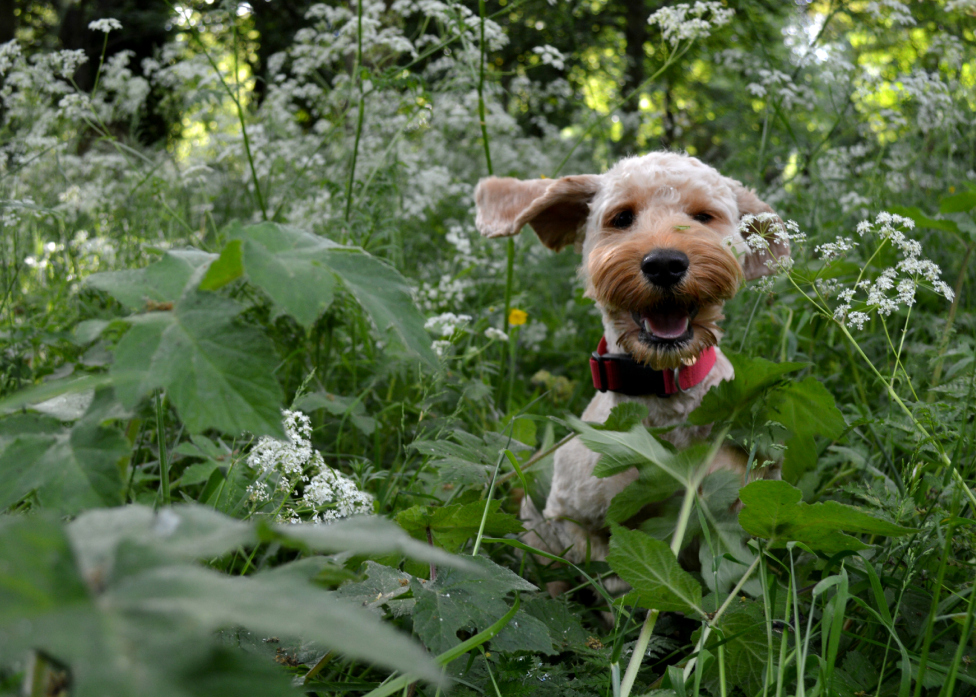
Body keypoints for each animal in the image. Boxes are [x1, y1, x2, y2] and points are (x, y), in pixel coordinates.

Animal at [476, 152, 788, 588]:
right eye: (621, 218)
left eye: (703, 216)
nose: (665, 264)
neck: (664, 391)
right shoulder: (574, 519)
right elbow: (616, 576)